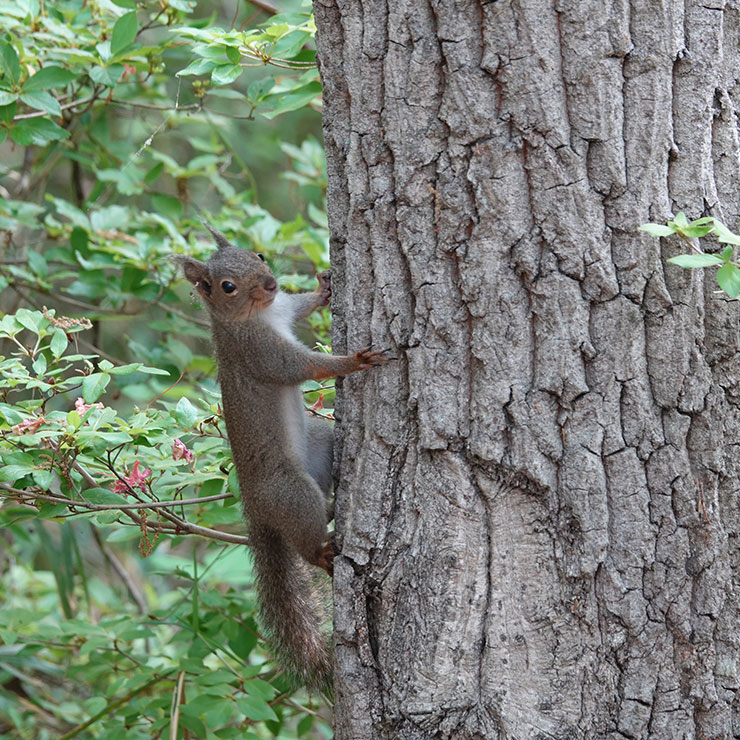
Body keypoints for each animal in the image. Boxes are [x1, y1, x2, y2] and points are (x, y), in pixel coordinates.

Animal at [172, 224, 382, 688]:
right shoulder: (262, 351)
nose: (270, 284)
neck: (261, 316)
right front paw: (353, 360)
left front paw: (322, 290)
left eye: (259, 255)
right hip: (291, 491)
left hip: (319, 445)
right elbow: (306, 367)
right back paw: (321, 552)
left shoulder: (284, 310)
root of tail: (254, 508)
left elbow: (300, 306)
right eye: (227, 287)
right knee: (304, 540)